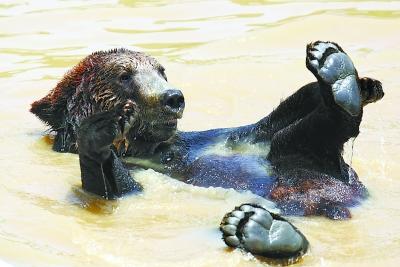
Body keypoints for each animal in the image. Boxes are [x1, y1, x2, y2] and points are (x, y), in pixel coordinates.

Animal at [31, 41, 384, 264]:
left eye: (161, 71)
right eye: (124, 75)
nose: (173, 97)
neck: (148, 147)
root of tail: (336, 204)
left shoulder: (209, 139)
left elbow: (261, 128)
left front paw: (362, 82)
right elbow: (118, 188)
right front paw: (98, 130)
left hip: (313, 166)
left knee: (304, 136)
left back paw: (339, 77)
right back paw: (261, 229)